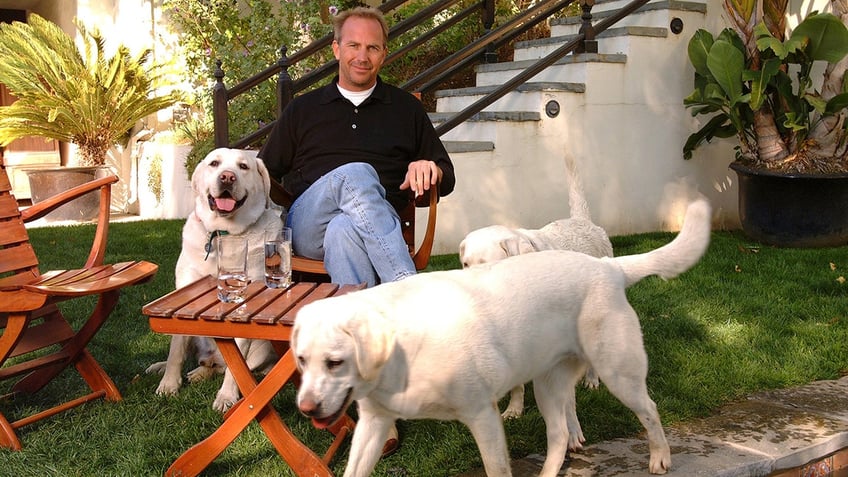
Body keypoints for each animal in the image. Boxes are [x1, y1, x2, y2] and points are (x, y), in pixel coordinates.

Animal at [144, 147, 280, 410]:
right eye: (214, 163)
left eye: (243, 166)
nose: (227, 177)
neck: (222, 234)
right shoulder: (184, 297)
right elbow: (176, 350)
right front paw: (169, 385)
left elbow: (235, 370)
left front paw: (226, 397)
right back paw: (164, 367)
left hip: (260, 350)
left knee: (226, 367)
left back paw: (200, 372)